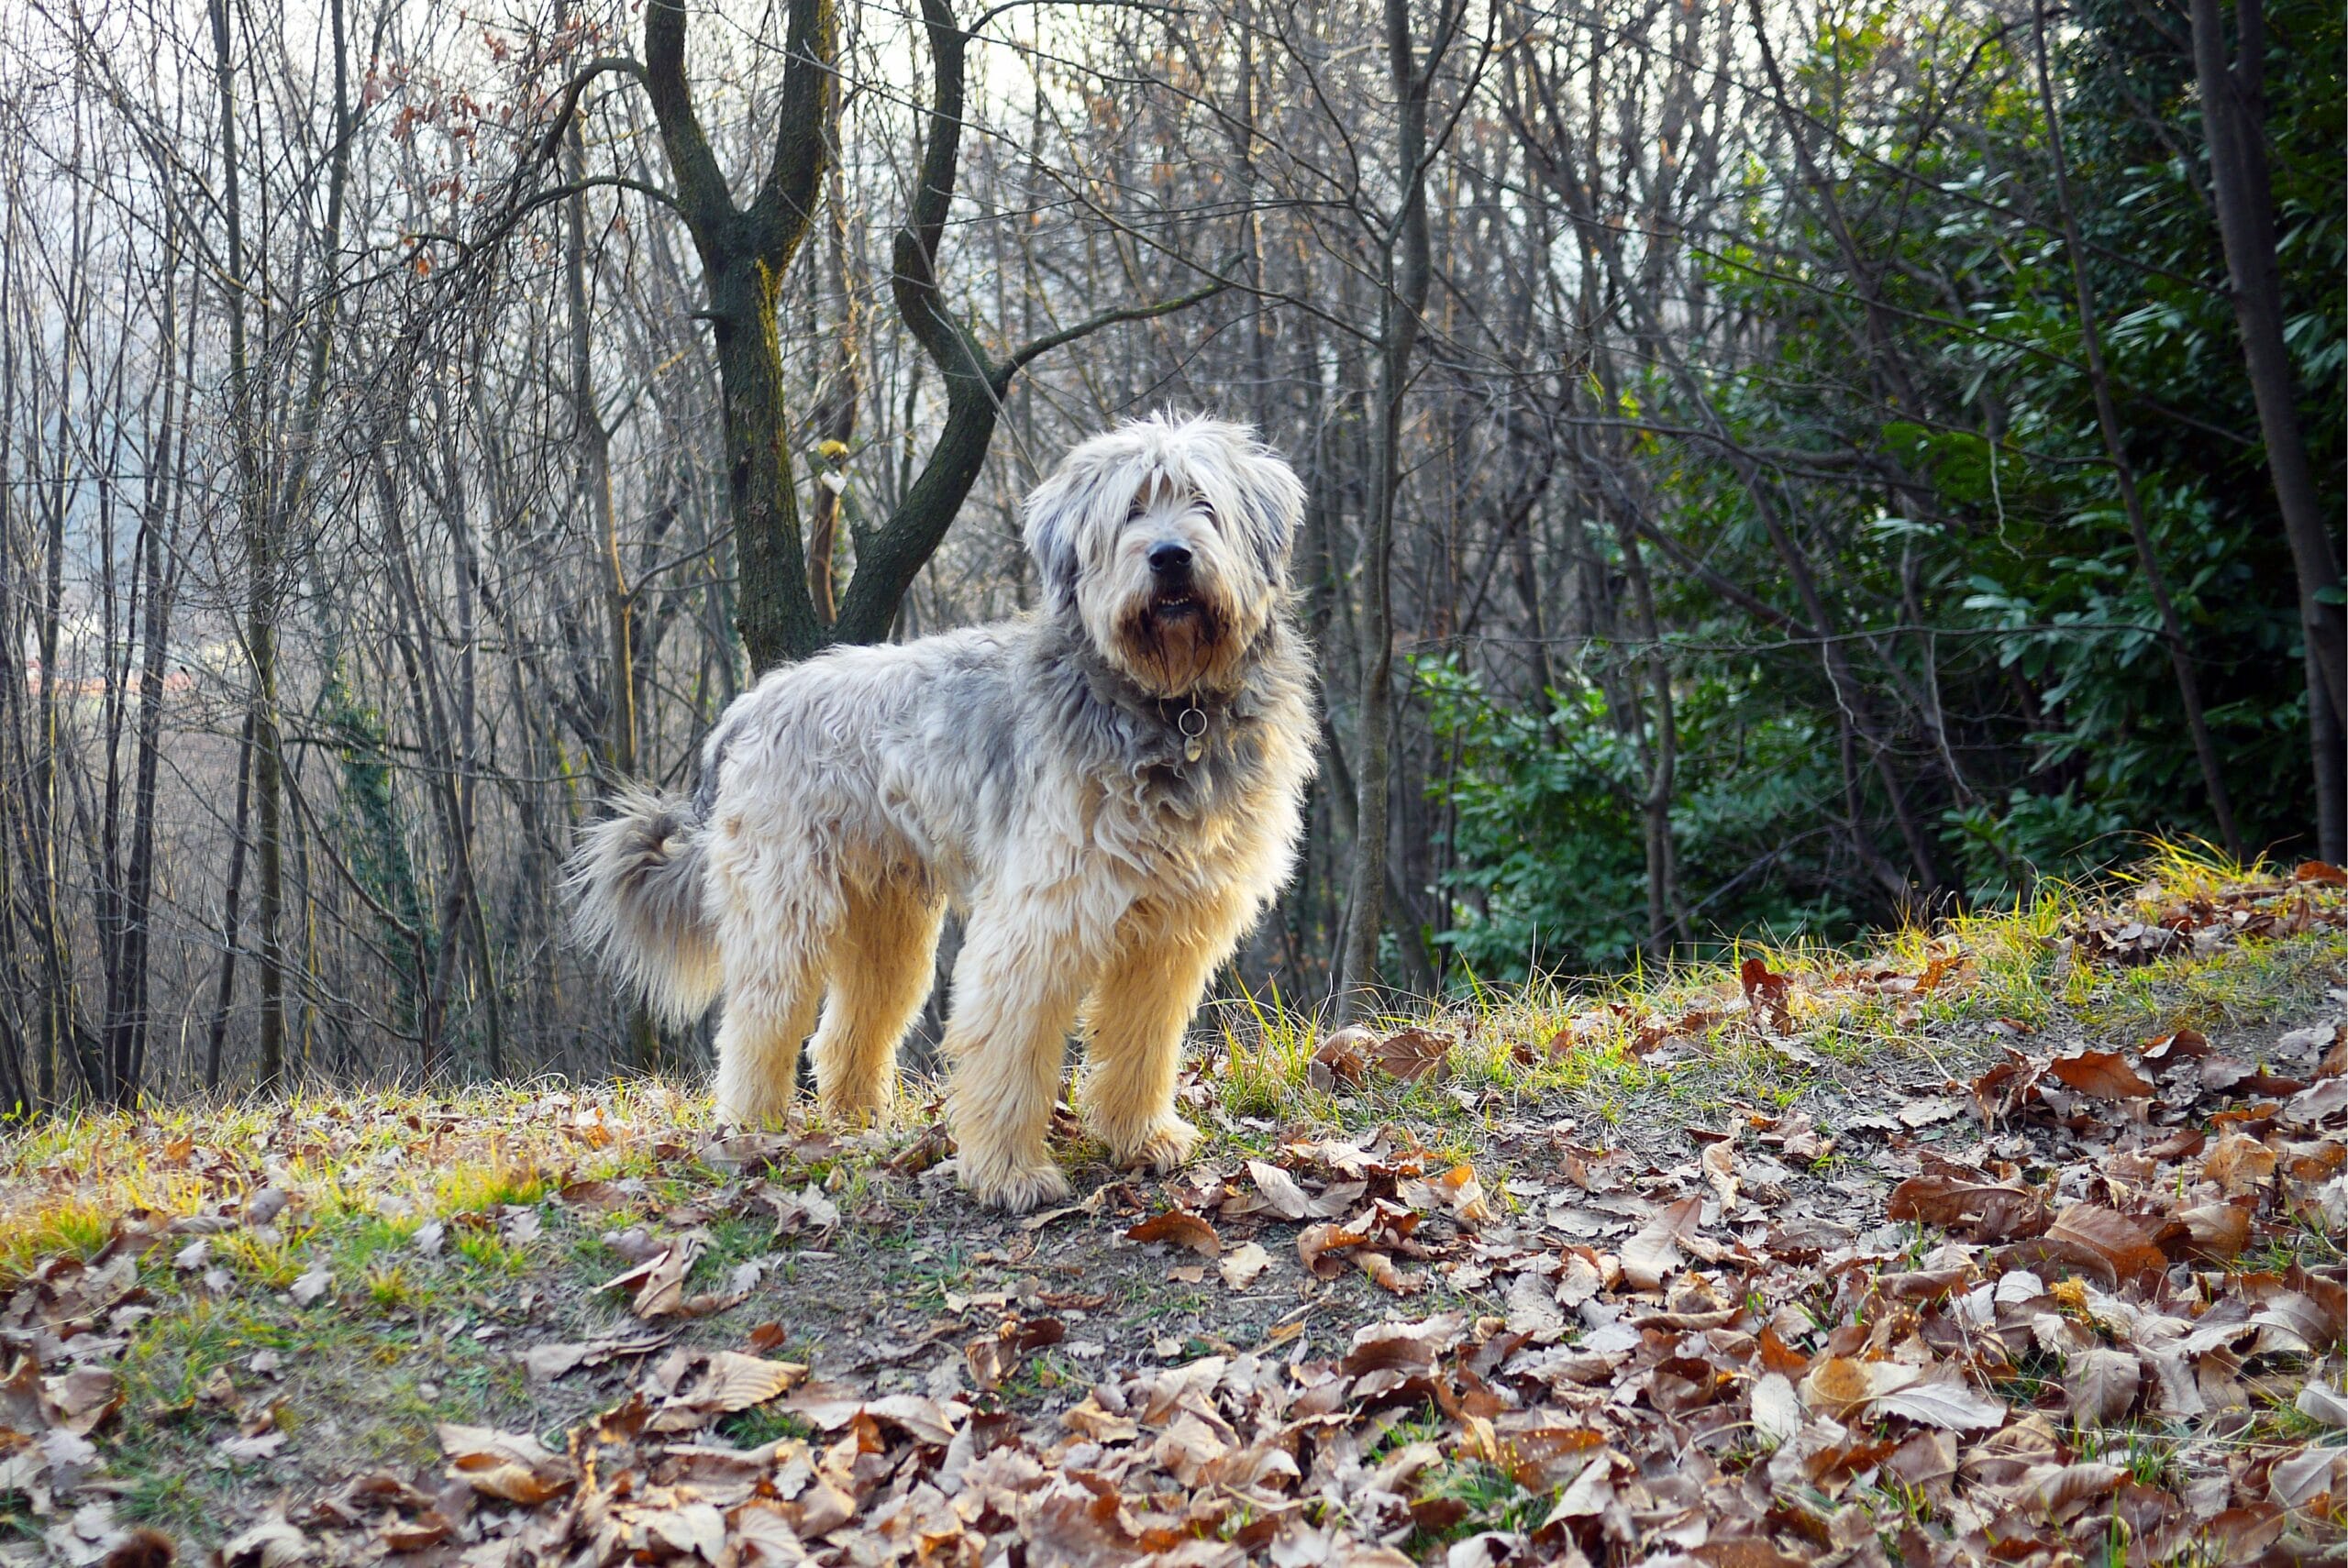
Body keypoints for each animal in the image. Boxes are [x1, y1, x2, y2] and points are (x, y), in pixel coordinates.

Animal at [560, 413, 1314, 1210]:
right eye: (1132, 511)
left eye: (1203, 503)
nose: (1170, 558)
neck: (1169, 708)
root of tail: (747, 706)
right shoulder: (1039, 919)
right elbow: (1011, 1047)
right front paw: (1010, 1172)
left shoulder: (1169, 932)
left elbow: (1143, 1040)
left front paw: (1141, 1138)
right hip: (784, 912)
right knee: (758, 1027)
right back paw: (753, 1135)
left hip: (886, 921)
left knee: (845, 1031)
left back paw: (860, 1126)